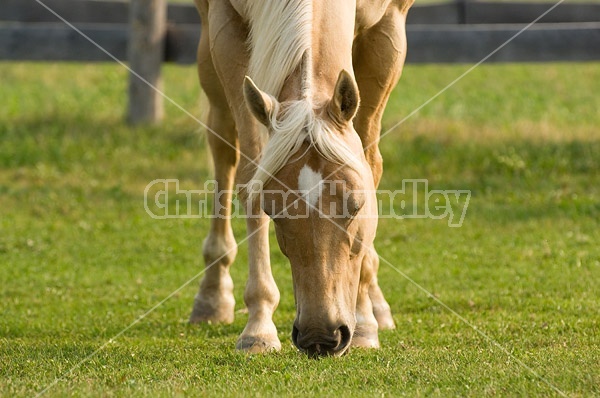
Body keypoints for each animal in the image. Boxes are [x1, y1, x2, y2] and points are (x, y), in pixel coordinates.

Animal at [190, 0, 414, 356]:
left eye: (356, 206)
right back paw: (212, 294)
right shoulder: (224, 25)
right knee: (222, 142)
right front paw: (259, 326)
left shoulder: (389, 28)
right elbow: (248, 172)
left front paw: (365, 321)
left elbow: (370, 161)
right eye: (272, 210)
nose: (320, 336)